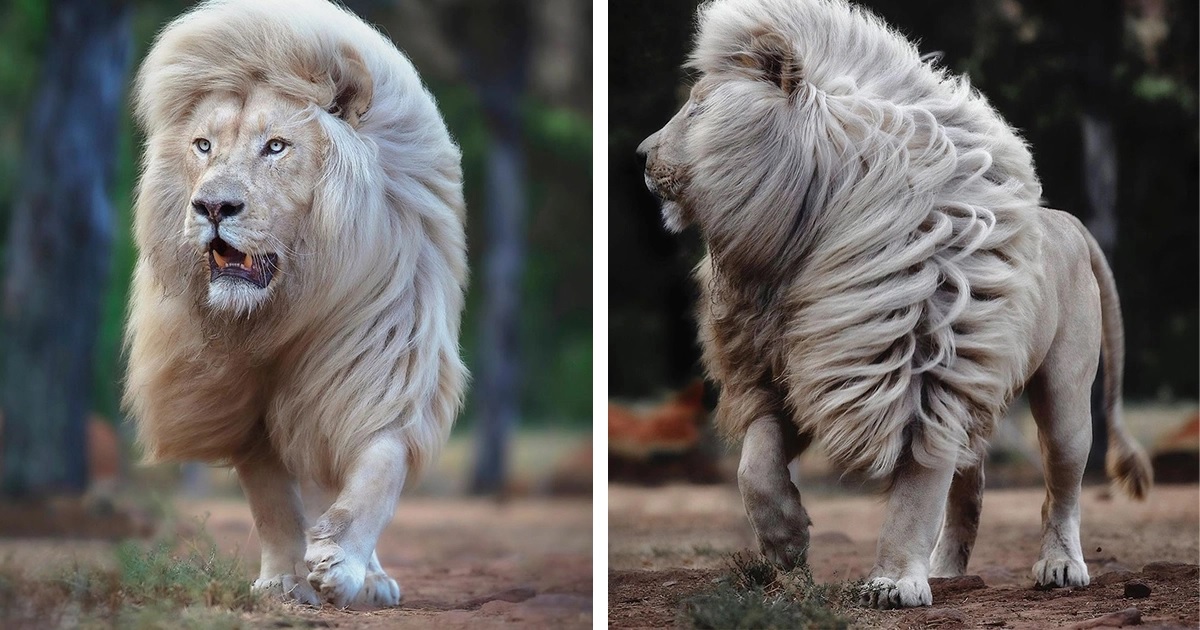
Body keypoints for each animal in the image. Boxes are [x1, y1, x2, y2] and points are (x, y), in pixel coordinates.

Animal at [124, 0, 465, 609]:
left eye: (276, 146)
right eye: (203, 145)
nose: (213, 206)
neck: (285, 308)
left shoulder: (384, 365)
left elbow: (378, 470)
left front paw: (342, 565)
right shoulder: (237, 400)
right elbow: (271, 501)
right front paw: (284, 580)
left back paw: (370, 578)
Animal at [638, 0, 1152, 607]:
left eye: (697, 108)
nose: (641, 155)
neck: (797, 247)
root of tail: (1069, 220)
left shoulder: (924, 380)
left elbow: (914, 496)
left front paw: (893, 582)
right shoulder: (789, 370)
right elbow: (754, 469)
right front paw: (787, 545)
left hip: (1064, 394)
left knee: (1061, 486)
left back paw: (1060, 565)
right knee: (971, 487)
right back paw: (947, 570)